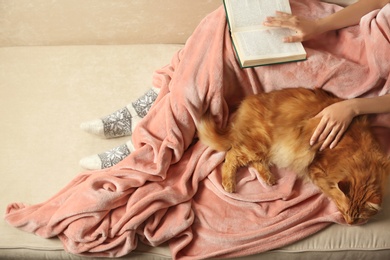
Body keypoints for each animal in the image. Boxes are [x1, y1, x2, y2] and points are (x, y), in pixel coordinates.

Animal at [198, 88, 390, 225]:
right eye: (345, 211)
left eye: (358, 217)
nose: (350, 224)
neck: (360, 160)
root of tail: (246, 104)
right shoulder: (316, 167)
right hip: (260, 143)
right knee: (232, 155)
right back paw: (229, 184)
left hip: (262, 147)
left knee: (255, 161)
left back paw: (269, 178)